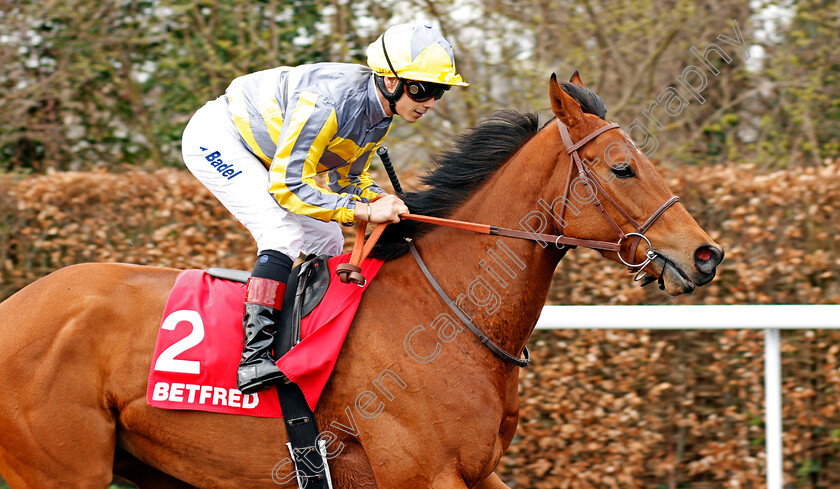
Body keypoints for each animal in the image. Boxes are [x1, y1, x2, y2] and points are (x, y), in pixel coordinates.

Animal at [0, 73, 720, 488]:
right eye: (623, 167)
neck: (446, 316)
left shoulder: (479, 472)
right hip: (62, 468)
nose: (706, 253)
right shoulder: (423, 473)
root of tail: (17, 306)